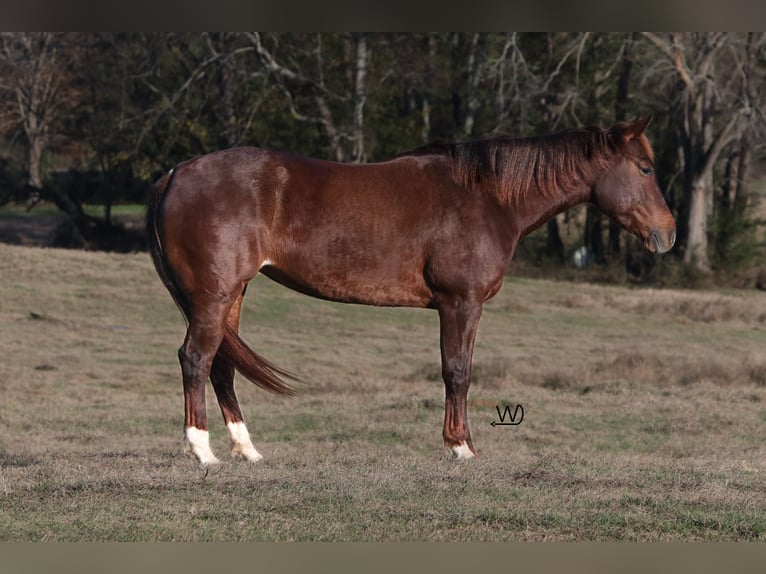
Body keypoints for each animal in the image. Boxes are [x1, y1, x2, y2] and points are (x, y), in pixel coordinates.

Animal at [146, 115, 680, 466]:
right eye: (646, 169)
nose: (668, 234)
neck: (488, 198)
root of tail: (176, 172)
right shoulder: (460, 304)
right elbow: (457, 372)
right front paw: (461, 448)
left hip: (232, 295)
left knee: (221, 364)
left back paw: (247, 450)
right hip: (214, 295)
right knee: (195, 358)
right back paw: (203, 451)